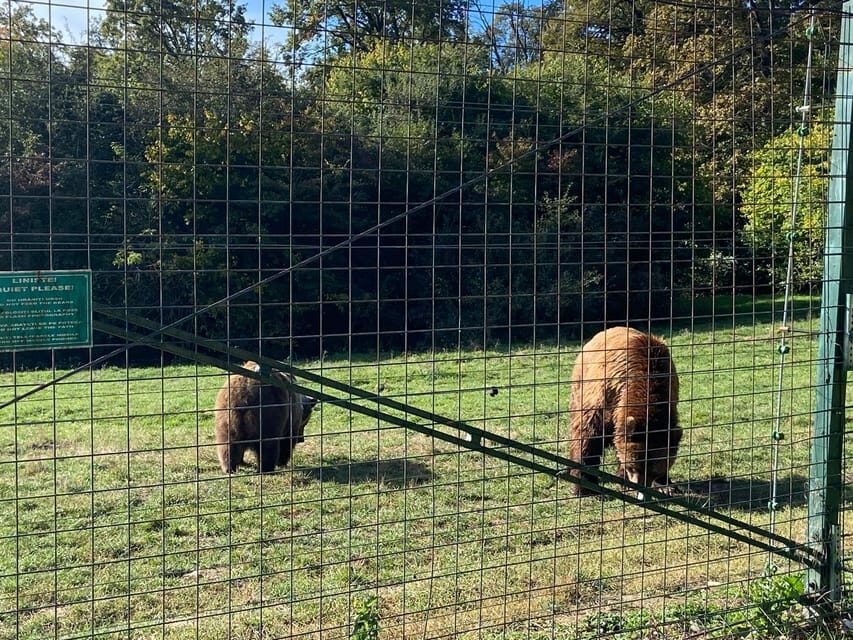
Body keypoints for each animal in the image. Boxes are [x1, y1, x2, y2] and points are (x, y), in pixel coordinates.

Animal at [567, 327, 681, 499]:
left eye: (654, 471)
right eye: (634, 466)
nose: (642, 494)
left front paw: (666, 485)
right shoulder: (606, 396)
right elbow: (588, 436)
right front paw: (585, 487)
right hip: (580, 383)